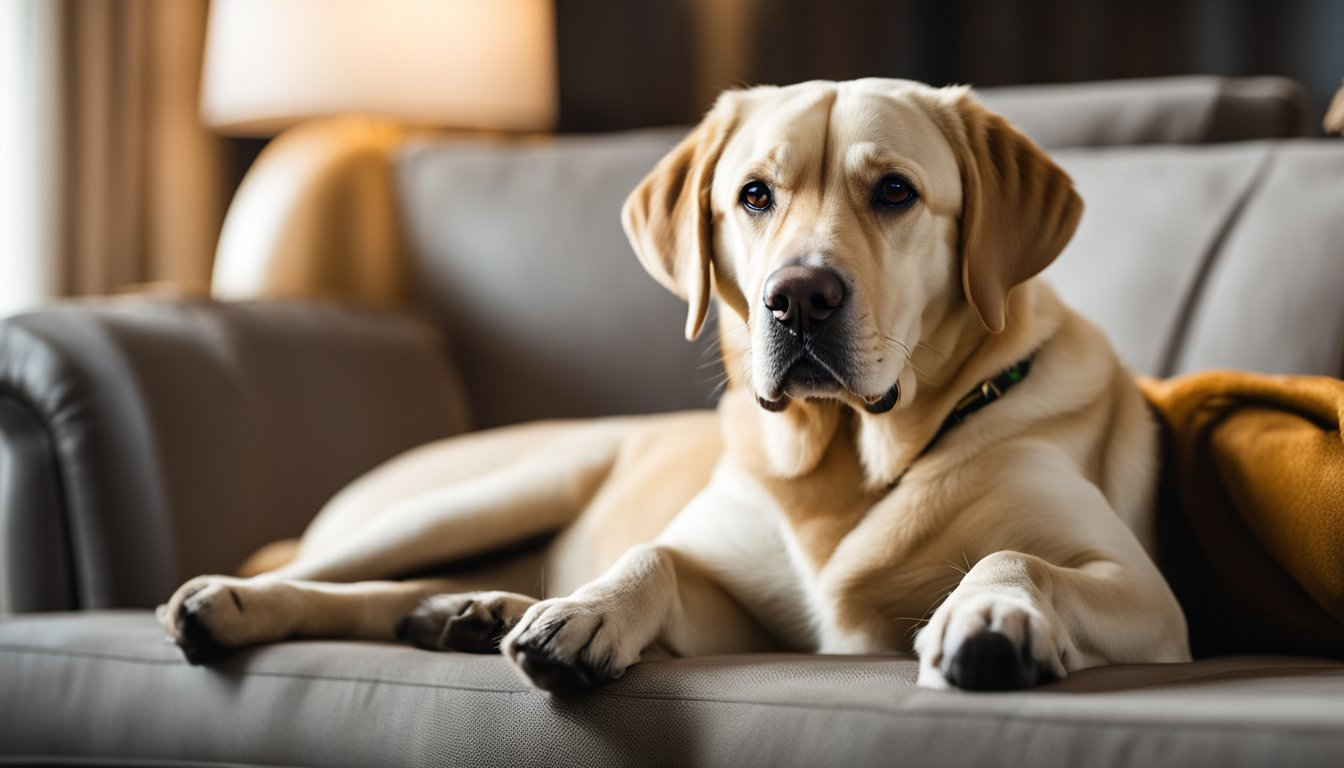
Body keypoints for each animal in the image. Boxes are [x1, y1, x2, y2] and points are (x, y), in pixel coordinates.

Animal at [165, 81, 1188, 694]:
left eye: (895, 192)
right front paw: (587, 613)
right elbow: (655, 555)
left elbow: (1018, 557)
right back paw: (234, 601)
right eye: (754, 195)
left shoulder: (1147, 596)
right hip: (488, 493)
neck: (847, 463)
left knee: (398, 590)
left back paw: (469, 612)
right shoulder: (732, 596)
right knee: (332, 573)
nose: (799, 298)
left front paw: (989, 612)